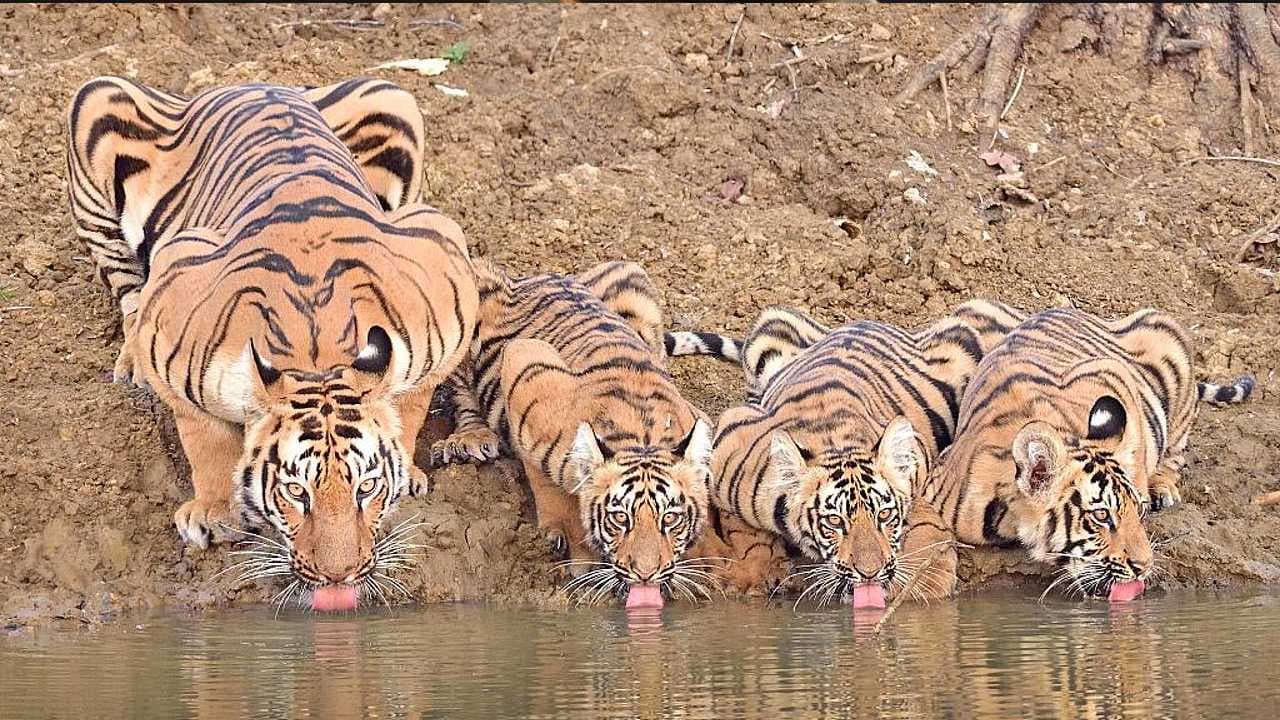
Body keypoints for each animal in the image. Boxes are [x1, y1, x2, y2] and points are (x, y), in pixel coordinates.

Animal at [64, 77, 478, 604]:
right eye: (296, 492)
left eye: (366, 487)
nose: (339, 576)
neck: (317, 353)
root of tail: (255, 83)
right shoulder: (174, 289)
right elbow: (205, 436)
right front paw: (214, 512)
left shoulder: (443, 270)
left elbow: (410, 406)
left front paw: (406, 473)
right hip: (96, 100)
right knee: (127, 287)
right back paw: (131, 363)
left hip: (392, 99)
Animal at [427, 257, 711, 604]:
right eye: (620, 518)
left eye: (671, 518)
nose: (647, 574)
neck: (642, 435)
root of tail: (529, 276)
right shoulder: (525, 367)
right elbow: (549, 483)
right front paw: (574, 551)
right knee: (463, 394)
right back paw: (470, 439)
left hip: (632, 277)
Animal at [665, 297, 1024, 604]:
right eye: (834, 522)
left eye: (884, 515)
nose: (870, 574)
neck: (834, 441)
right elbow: (738, 522)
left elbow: (922, 518)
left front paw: (926, 579)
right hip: (770, 328)